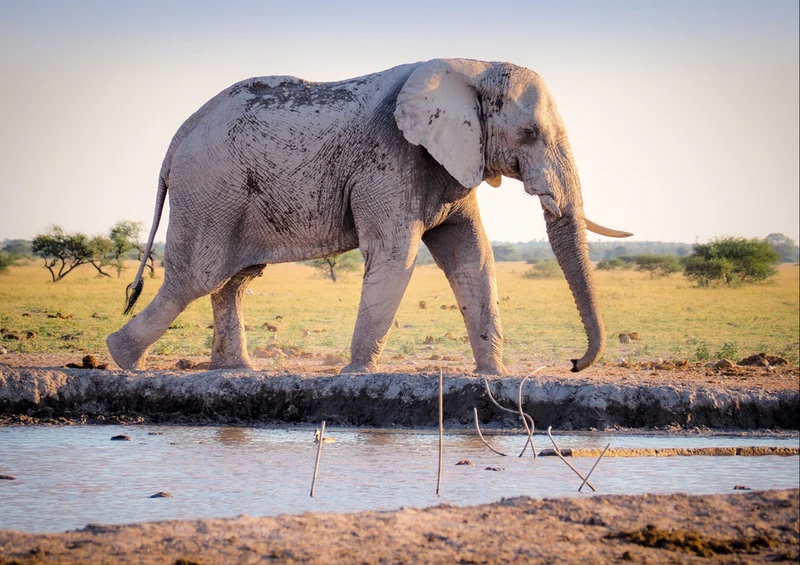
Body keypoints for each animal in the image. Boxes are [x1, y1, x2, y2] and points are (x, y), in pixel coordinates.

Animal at [107, 58, 631, 375]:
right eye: (529, 134)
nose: (573, 364)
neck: (473, 65)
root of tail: (178, 137)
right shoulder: (391, 157)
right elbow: (395, 256)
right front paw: (355, 374)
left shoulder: (448, 162)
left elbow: (473, 257)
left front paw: (493, 376)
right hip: (211, 188)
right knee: (197, 276)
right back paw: (122, 358)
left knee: (232, 279)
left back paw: (235, 371)